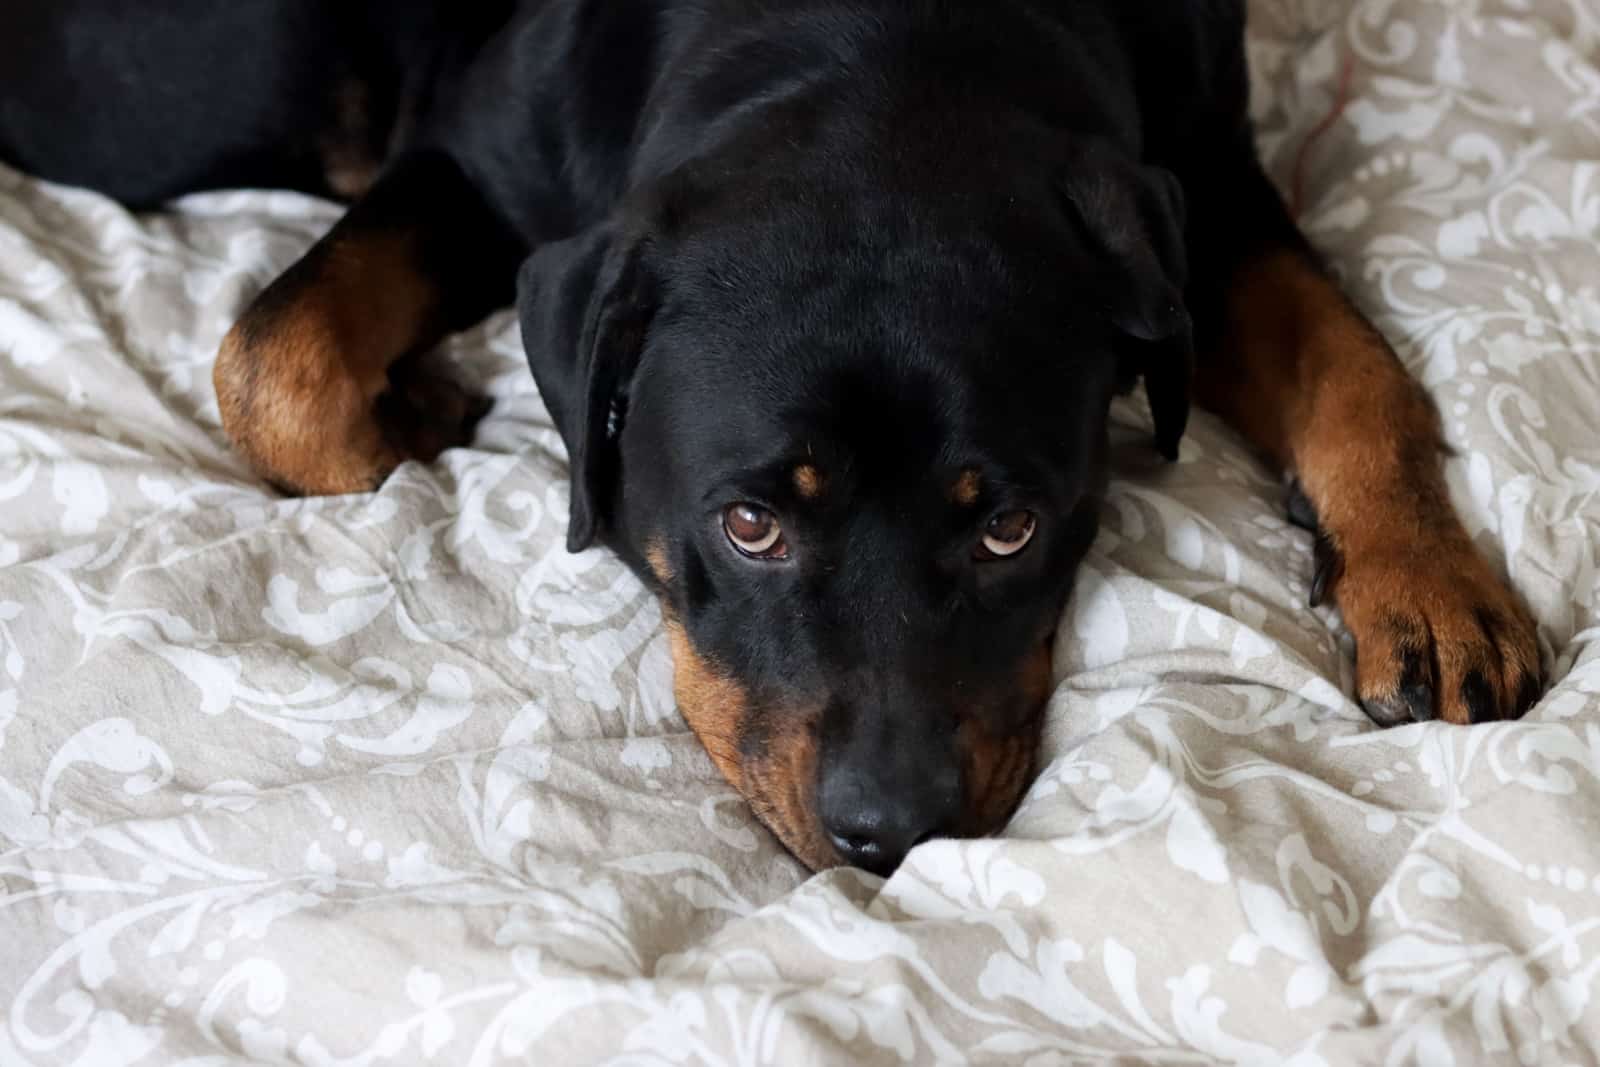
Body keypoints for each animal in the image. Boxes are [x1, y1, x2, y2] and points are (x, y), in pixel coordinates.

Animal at [6, 0, 1542, 876]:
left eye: (1011, 525)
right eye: (749, 522)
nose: (890, 829)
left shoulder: (1205, 163)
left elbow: (1354, 363)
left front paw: (1426, 575)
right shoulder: (472, 155)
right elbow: (276, 357)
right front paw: (412, 404)